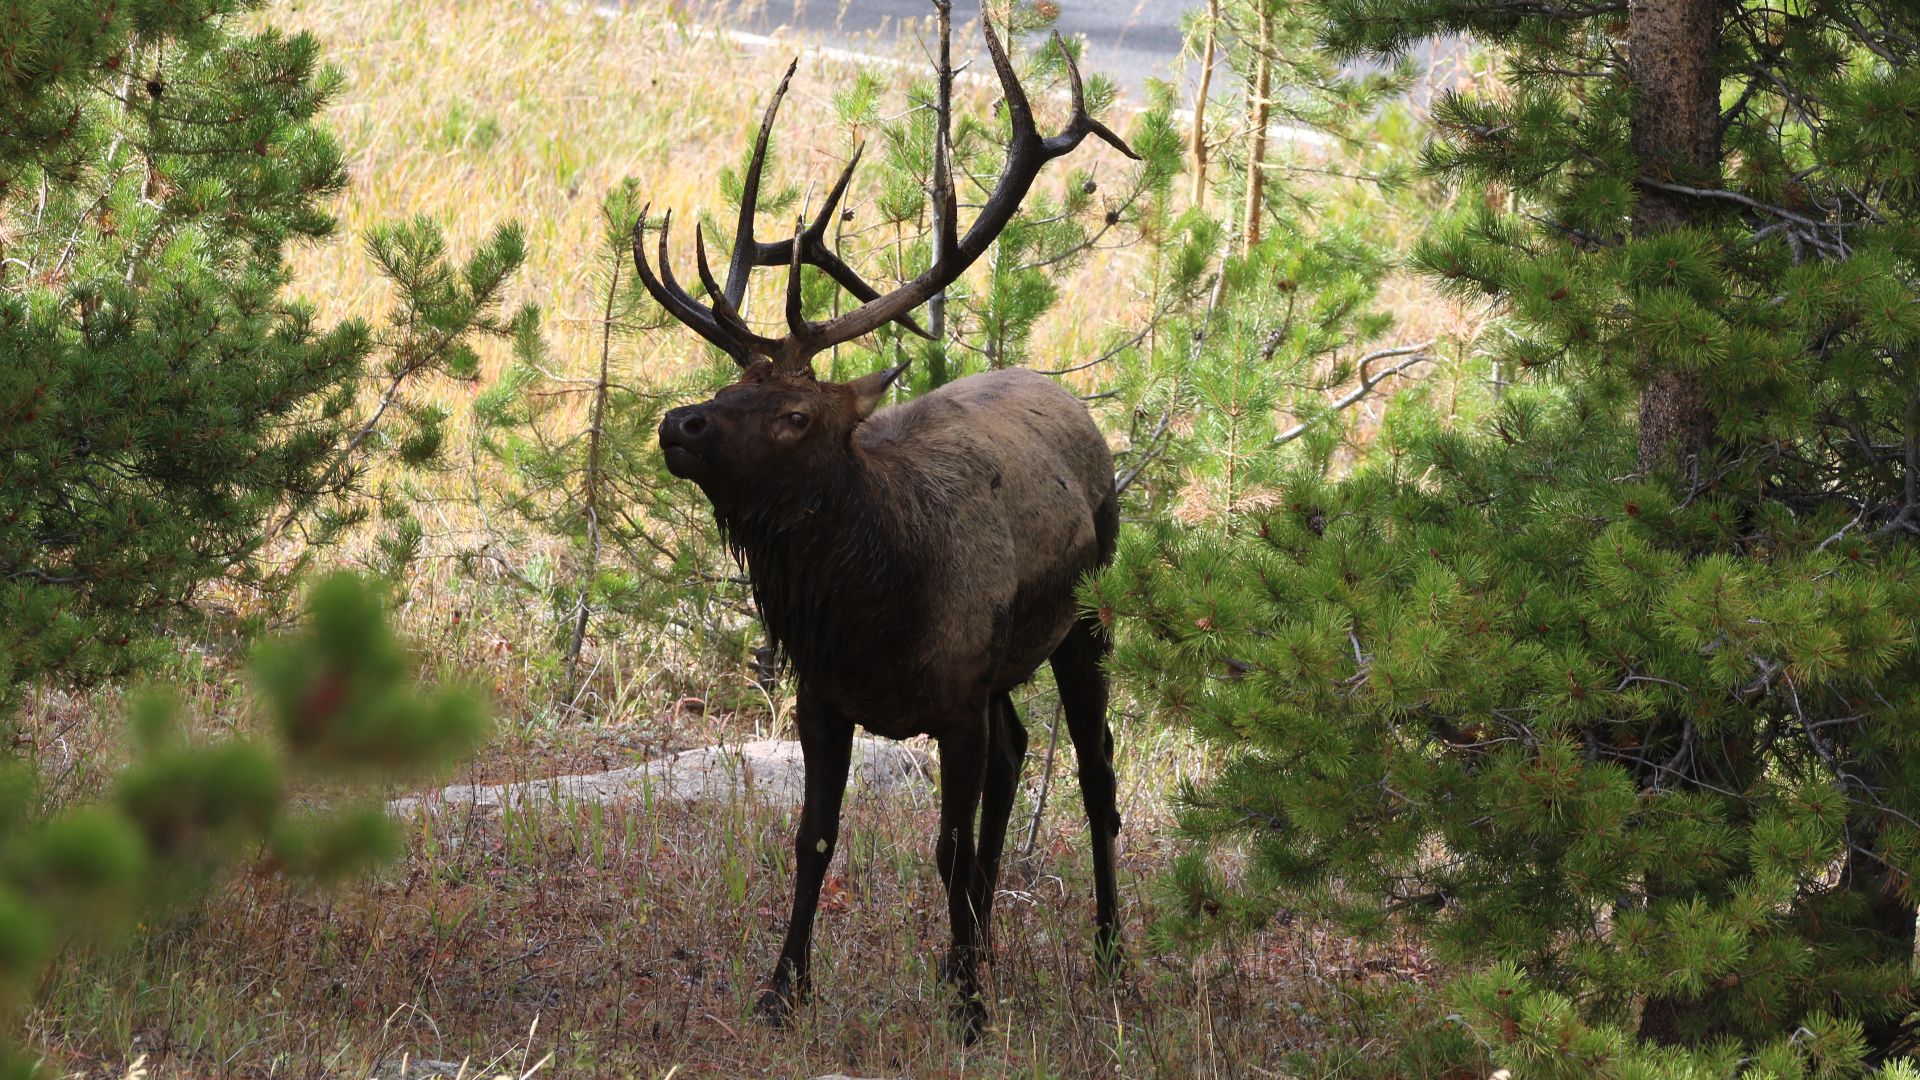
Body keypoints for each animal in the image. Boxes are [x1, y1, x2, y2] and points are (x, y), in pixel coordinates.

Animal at [632, 11, 1137, 1039]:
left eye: (794, 413)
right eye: (731, 386)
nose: (678, 423)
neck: (871, 614)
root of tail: (1068, 397)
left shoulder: (953, 702)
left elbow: (945, 844)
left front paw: (972, 1012)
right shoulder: (825, 698)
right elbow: (815, 838)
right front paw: (784, 989)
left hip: (1085, 621)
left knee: (1096, 775)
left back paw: (1104, 953)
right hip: (1002, 671)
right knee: (1018, 757)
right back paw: (974, 949)